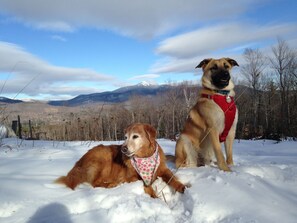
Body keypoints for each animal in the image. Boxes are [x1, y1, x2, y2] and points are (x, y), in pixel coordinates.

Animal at [55, 123, 185, 198]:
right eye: (125, 137)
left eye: (135, 136)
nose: (123, 148)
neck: (144, 157)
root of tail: (78, 163)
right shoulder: (131, 177)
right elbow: (143, 182)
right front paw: (154, 195)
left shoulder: (163, 169)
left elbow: (172, 178)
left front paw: (181, 187)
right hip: (104, 157)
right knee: (95, 183)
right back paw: (112, 184)